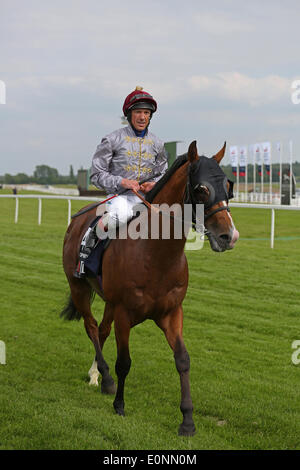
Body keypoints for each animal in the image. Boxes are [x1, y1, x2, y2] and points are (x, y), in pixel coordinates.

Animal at [61, 140, 239, 436]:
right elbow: (124, 362)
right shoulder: (124, 312)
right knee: (91, 327)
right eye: (201, 189)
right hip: (79, 287)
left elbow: (183, 359)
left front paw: (187, 420)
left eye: (228, 185)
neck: (155, 254)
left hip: (108, 300)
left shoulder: (171, 312)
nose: (229, 236)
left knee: (102, 330)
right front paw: (119, 405)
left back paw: (95, 373)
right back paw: (105, 377)